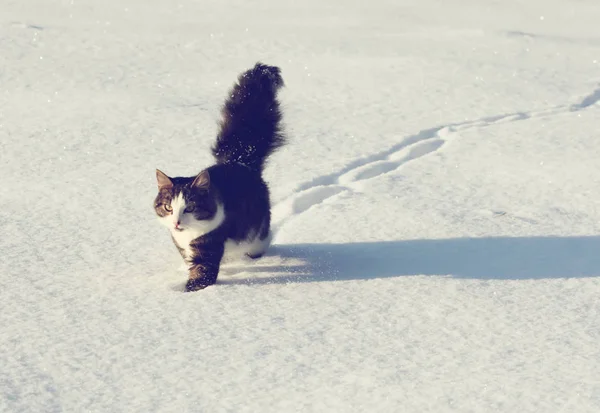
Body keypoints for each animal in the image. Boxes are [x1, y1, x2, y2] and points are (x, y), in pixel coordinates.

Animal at [154, 62, 288, 292]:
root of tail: (240, 161)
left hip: (257, 233)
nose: (177, 223)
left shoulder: (210, 244)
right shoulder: (182, 245)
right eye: (168, 207)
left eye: (190, 207)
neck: (187, 235)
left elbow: (201, 275)